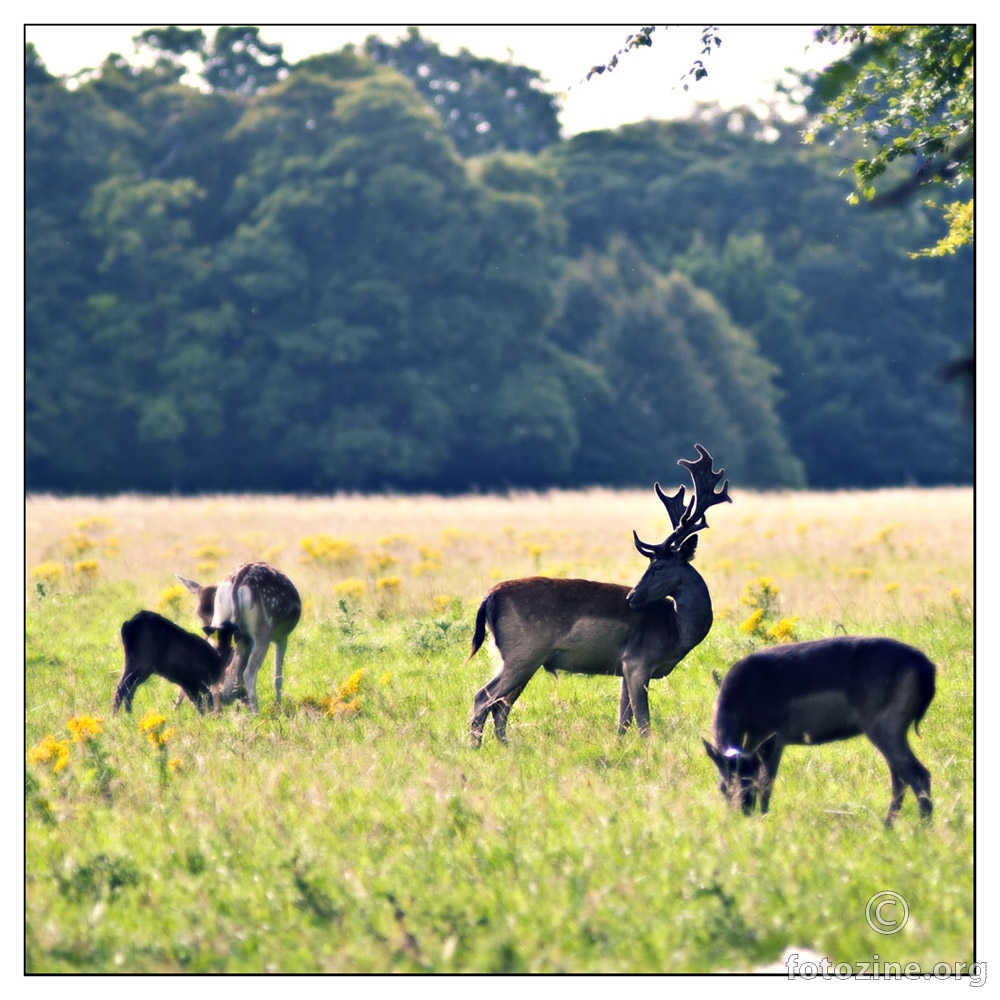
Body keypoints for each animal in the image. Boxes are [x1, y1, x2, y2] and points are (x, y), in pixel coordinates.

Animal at [177, 564, 300, 712]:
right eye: (199, 614)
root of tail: (238, 580)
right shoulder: (281, 637)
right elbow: (278, 677)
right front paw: (279, 707)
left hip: (222, 621)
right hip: (262, 632)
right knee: (249, 673)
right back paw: (255, 712)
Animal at [464, 444, 732, 744]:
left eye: (658, 566)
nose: (632, 597)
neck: (676, 630)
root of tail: (489, 597)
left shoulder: (624, 668)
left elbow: (623, 721)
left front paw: (619, 747)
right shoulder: (638, 663)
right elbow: (643, 723)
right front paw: (649, 749)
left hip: (518, 657)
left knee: (500, 706)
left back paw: (506, 746)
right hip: (523, 652)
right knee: (483, 697)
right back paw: (475, 747)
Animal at [704, 636, 936, 824]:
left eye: (749, 783)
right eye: (722, 787)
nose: (742, 813)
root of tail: (927, 668)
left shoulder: (775, 735)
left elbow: (767, 784)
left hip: (885, 726)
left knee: (917, 774)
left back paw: (923, 828)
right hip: (891, 730)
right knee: (900, 778)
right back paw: (889, 826)